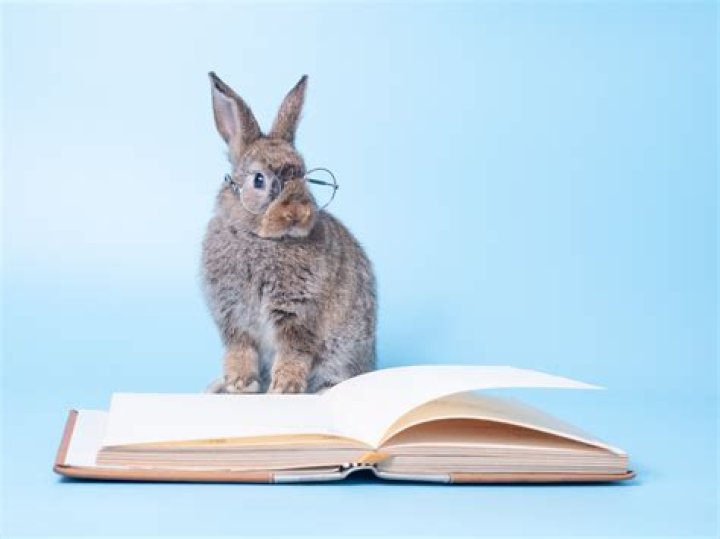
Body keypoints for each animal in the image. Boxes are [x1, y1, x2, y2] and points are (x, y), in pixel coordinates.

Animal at [202, 72, 377, 394]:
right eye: (259, 180)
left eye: (305, 177)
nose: (298, 212)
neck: (259, 239)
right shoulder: (233, 316)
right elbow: (240, 349)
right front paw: (238, 383)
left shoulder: (297, 314)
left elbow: (293, 351)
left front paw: (285, 387)